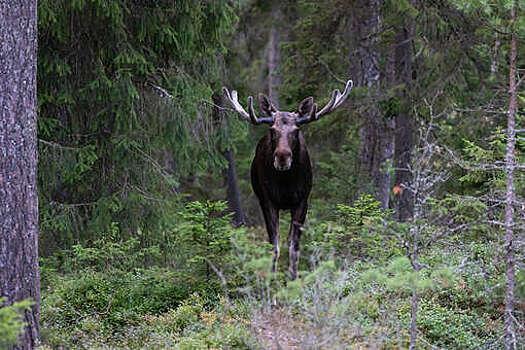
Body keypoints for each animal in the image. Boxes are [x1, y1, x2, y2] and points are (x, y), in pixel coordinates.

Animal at [221, 80, 352, 280]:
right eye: (272, 130)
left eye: (296, 130)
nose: (282, 157)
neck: (285, 183)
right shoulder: (268, 201)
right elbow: (274, 244)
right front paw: (271, 279)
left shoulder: (302, 201)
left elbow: (294, 245)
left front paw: (293, 278)